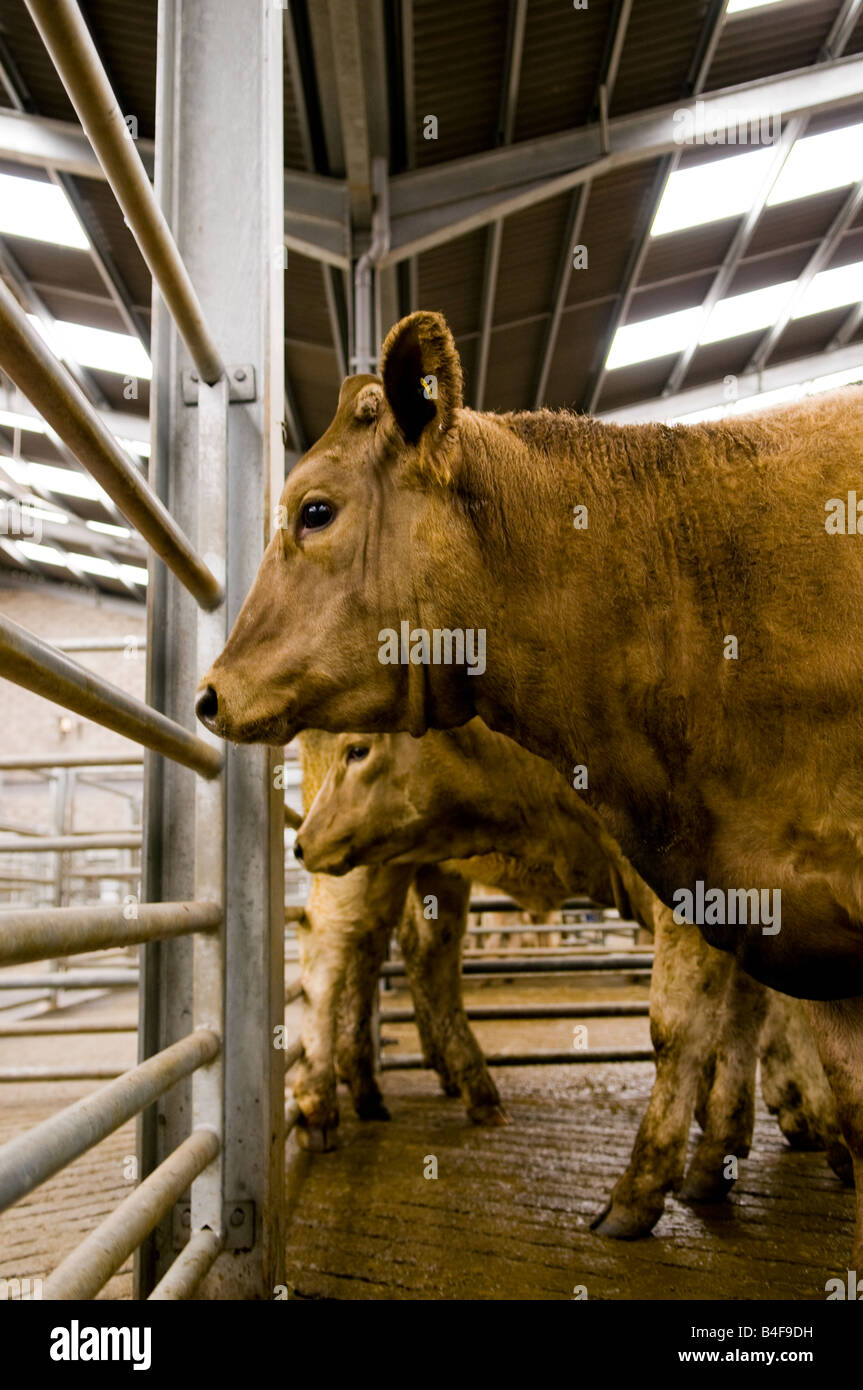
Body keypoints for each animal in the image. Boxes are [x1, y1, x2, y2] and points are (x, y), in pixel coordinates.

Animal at [295, 723, 848, 1238]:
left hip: (419, 863)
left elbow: (751, 1012)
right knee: (329, 947)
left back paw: (417, 1087)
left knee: (409, 949)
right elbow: (691, 1025)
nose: (299, 847)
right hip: (357, 859)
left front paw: (741, 1138)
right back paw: (321, 1103)